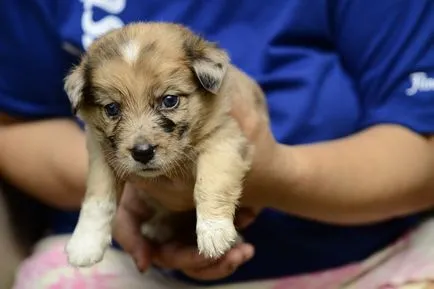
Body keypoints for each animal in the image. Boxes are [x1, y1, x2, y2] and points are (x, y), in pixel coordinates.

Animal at [63, 21, 268, 266]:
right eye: (112, 108)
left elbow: (210, 182)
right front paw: (85, 243)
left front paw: (214, 231)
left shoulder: (224, 138)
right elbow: (98, 199)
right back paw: (157, 227)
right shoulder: (101, 154)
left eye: (170, 100)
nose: (142, 153)